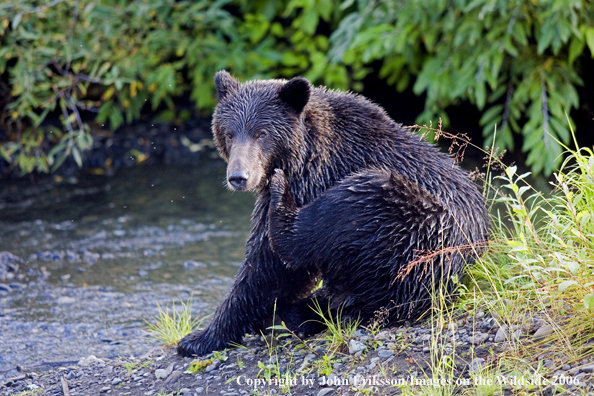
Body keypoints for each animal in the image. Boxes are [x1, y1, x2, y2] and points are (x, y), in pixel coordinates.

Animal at [177, 69, 490, 358]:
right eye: (229, 133)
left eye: (261, 133)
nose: (239, 177)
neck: (300, 153)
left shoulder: (313, 178)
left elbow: (268, 266)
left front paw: (198, 338)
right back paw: (296, 314)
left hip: (413, 229)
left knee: (344, 211)